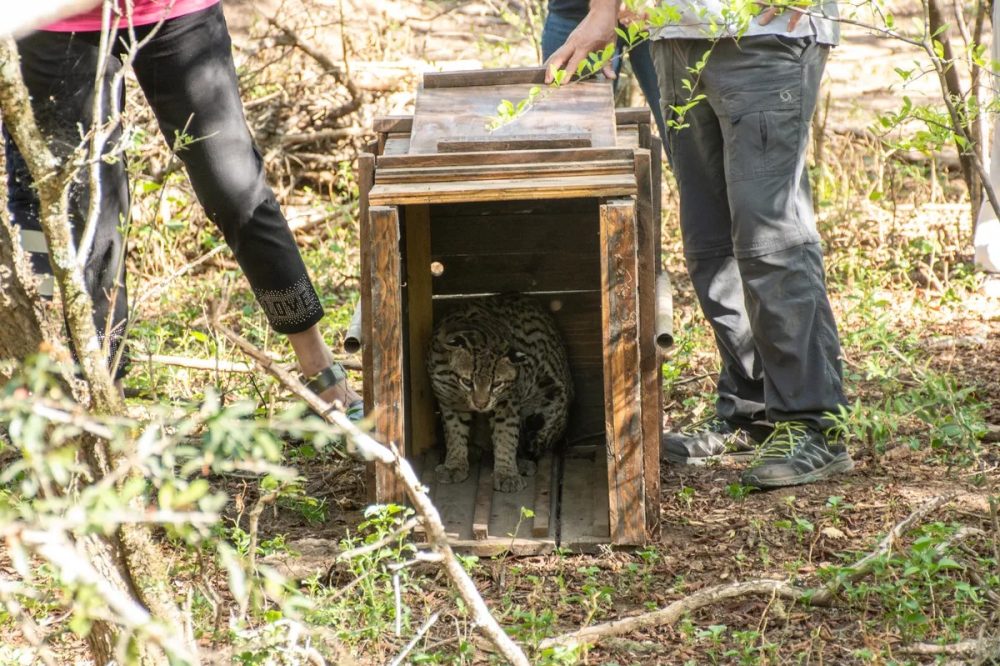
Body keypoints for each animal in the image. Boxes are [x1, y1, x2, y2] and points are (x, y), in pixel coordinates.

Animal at [428, 294, 576, 490]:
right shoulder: (447, 398)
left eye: (496, 384)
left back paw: (521, 463)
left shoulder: (508, 400)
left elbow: (506, 433)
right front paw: (454, 464)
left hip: (548, 408)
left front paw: (507, 473)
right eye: (467, 381)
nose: (481, 404)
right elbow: (454, 431)